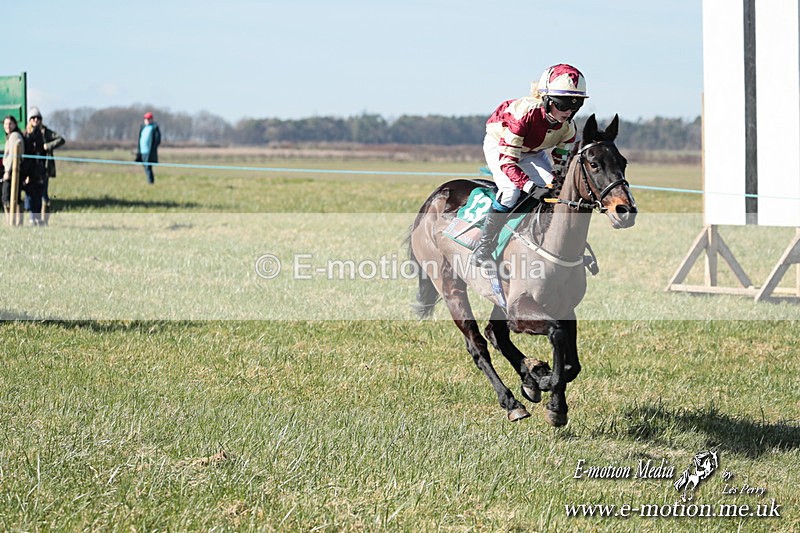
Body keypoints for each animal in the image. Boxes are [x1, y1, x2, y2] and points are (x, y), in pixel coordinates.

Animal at [408, 114, 637, 426]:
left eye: (622, 161)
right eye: (594, 163)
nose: (625, 210)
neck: (551, 242)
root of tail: (433, 198)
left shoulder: (564, 307)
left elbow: (571, 364)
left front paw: (545, 387)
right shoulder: (521, 309)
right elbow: (556, 336)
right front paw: (550, 392)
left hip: (498, 295)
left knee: (496, 334)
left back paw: (529, 376)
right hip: (448, 284)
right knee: (478, 344)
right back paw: (511, 402)